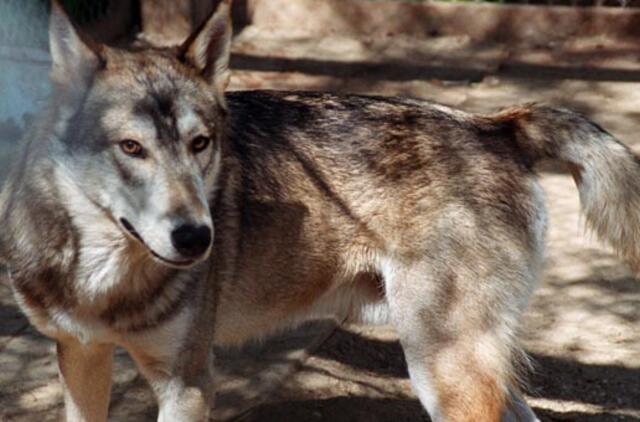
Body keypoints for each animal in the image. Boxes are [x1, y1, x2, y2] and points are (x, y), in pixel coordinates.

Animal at [1, 1, 640, 420]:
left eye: (200, 143)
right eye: (131, 147)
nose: (198, 239)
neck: (102, 278)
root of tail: (497, 125)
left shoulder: (187, 381)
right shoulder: (80, 357)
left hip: (442, 369)